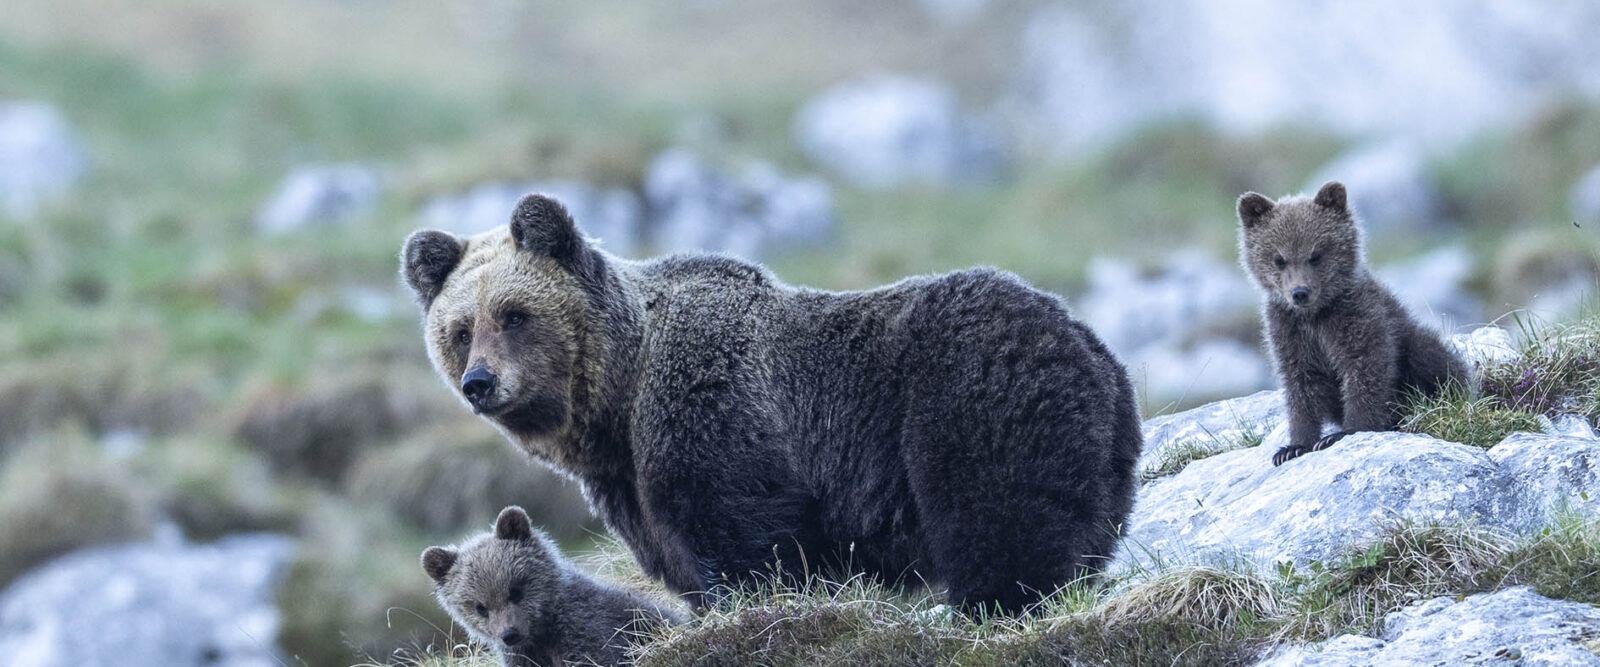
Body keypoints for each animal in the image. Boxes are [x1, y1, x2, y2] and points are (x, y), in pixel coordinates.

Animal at [401, 193, 1142, 613]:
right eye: (460, 327)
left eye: (515, 313)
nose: (480, 382)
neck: (618, 400)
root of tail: (1096, 351)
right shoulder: (627, 485)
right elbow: (679, 561)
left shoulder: (712, 412)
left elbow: (746, 542)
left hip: (971, 401)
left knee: (1000, 524)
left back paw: (993, 605)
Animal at [422, 505, 687, 667]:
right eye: (480, 607)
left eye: (515, 591)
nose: (509, 634)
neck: (542, 633)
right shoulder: (522, 656)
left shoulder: (588, 630)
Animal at [1236, 181, 1471, 466]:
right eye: (1279, 258)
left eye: (1316, 254)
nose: (1300, 292)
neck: (1316, 316)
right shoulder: (1289, 332)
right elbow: (1301, 386)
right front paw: (1292, 447)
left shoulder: (1356, 317)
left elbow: (1366, 368)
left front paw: (1343, 432)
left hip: (1416, 345)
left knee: (1432, 359)